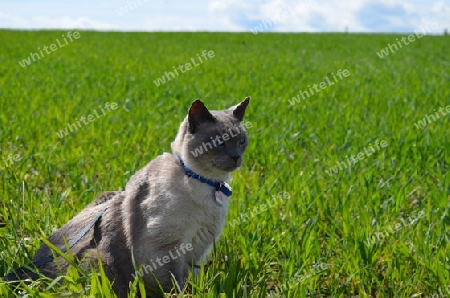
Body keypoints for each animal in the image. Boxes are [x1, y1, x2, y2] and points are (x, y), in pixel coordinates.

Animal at [23, 97, 250, 296]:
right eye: (219, 142)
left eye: (241, 141)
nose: (236, 158)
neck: (208, 184)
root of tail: (33, 271)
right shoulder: (165, 249)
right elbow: (171, 286)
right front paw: (182, 295)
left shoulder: (197, 251)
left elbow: (188, 282)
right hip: (98, 260)